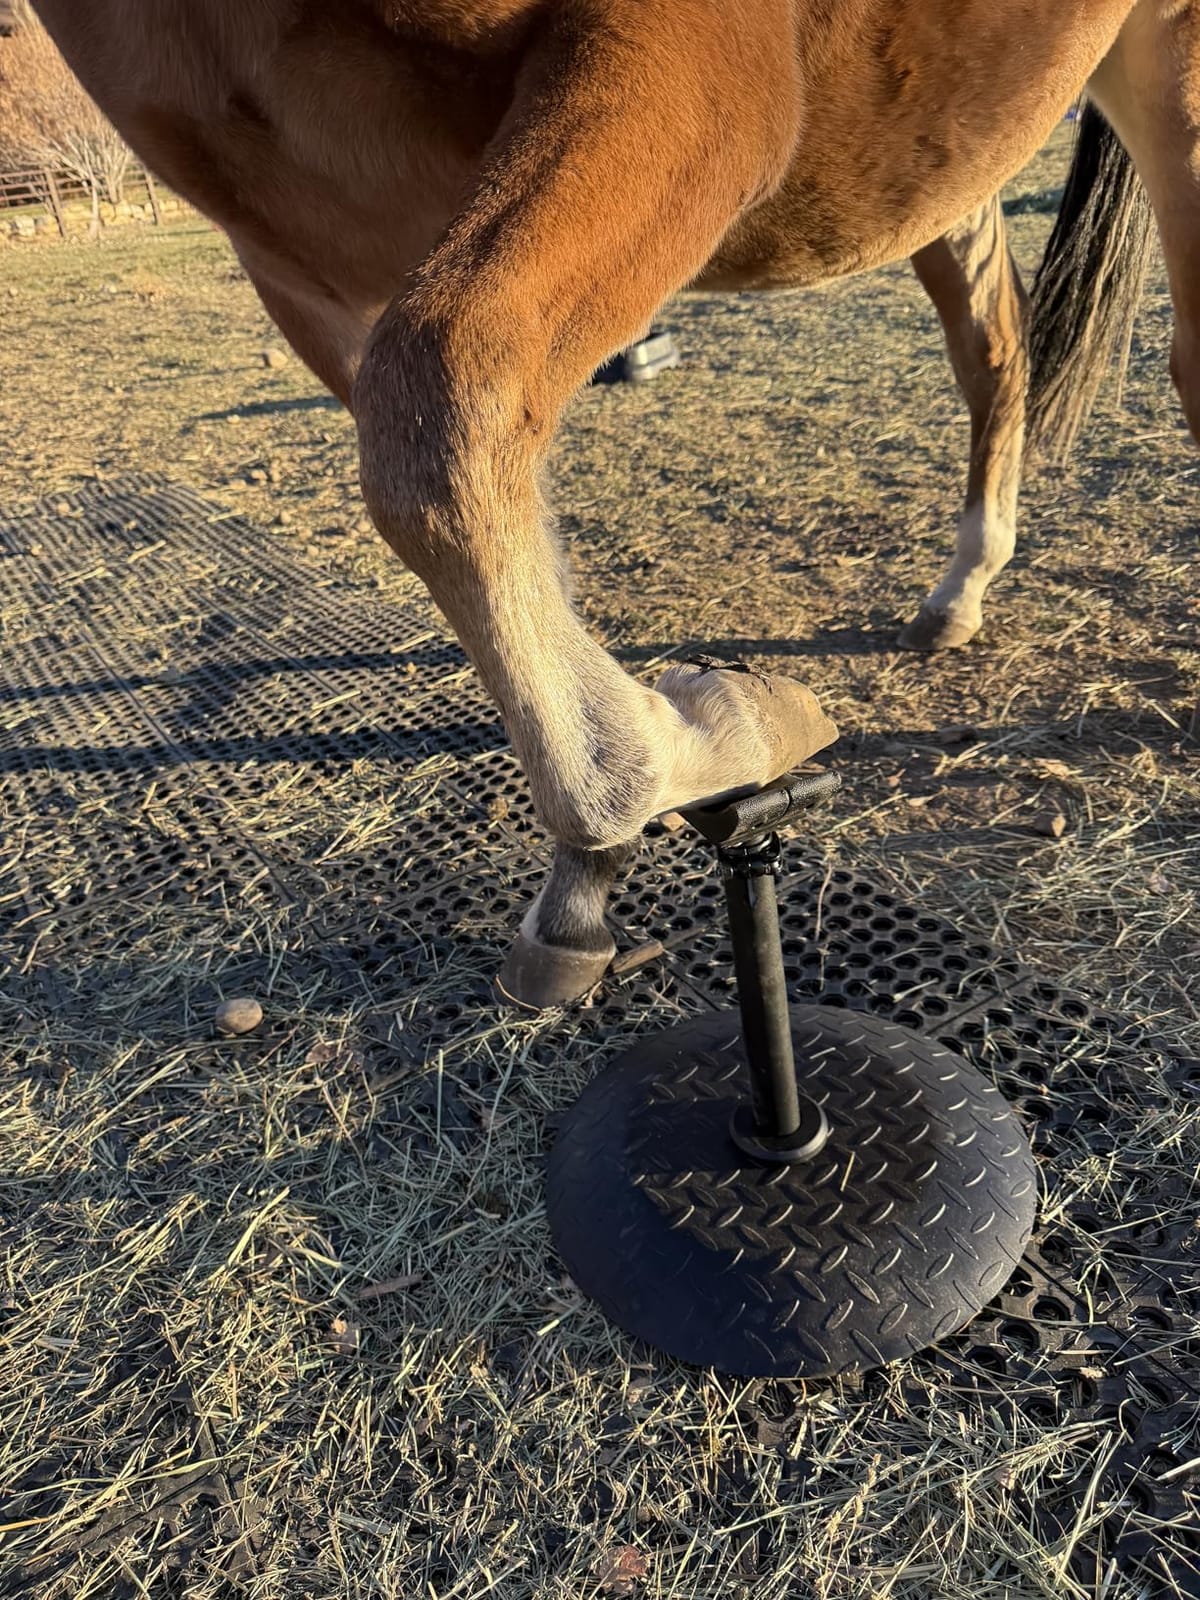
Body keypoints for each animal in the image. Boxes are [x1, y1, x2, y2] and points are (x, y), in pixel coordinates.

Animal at [26, 1, 1184, 1006]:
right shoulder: (295, 259)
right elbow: (487, 509)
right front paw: (589, 869)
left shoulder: (684, 77)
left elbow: (444, 409)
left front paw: (716, 726)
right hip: (944, 157)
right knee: (993, 351)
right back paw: (962, 588)